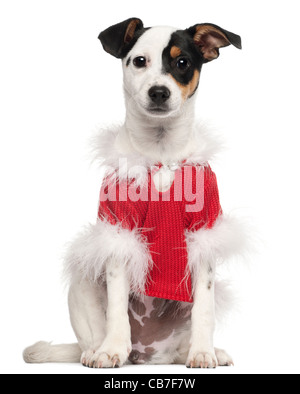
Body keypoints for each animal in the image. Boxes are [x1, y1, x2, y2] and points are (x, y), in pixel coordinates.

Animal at [22, 17, 244, 370]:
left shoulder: (204, 233)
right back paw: (96, 351)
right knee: (93, 334)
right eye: (139, 61)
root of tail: (146, 353)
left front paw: (203, 352)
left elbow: (204, 309)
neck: (161, 154)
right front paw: (111, 349)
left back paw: (204, 351)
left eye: (183, 63)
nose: (159, 91)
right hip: (83, 285)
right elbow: (116, 307)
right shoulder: (119, 229)